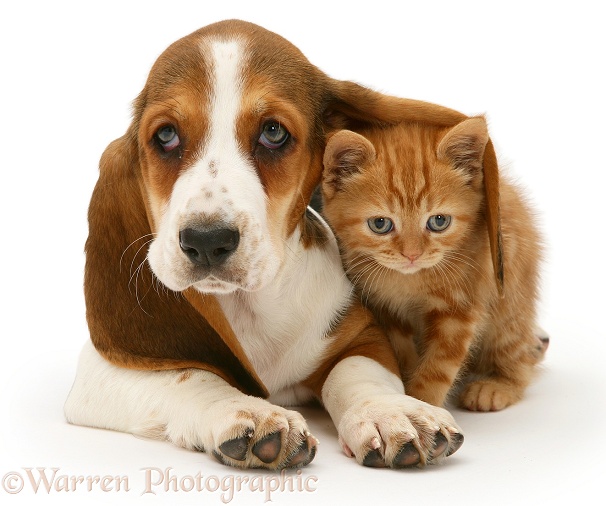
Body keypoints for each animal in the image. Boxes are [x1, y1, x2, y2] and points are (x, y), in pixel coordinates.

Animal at [64, 19, 506, 470]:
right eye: (166, 135)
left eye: (273, 132)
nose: (207, 240)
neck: (251, 304)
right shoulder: (100, 371)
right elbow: (191, 375)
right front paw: (249, 412)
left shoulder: (363, 335)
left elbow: (357, 372)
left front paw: (392, 412)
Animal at [326, 118, 548, 412]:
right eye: (380, 224)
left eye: (439, 221)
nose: (412, 254)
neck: (410, 280)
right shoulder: (387, 309)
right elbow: (402, 353)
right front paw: (405, 392)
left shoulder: (461, 309)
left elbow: (438, 367)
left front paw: (423, 404)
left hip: (509, 307)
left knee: (519, 358)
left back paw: (497, 386)